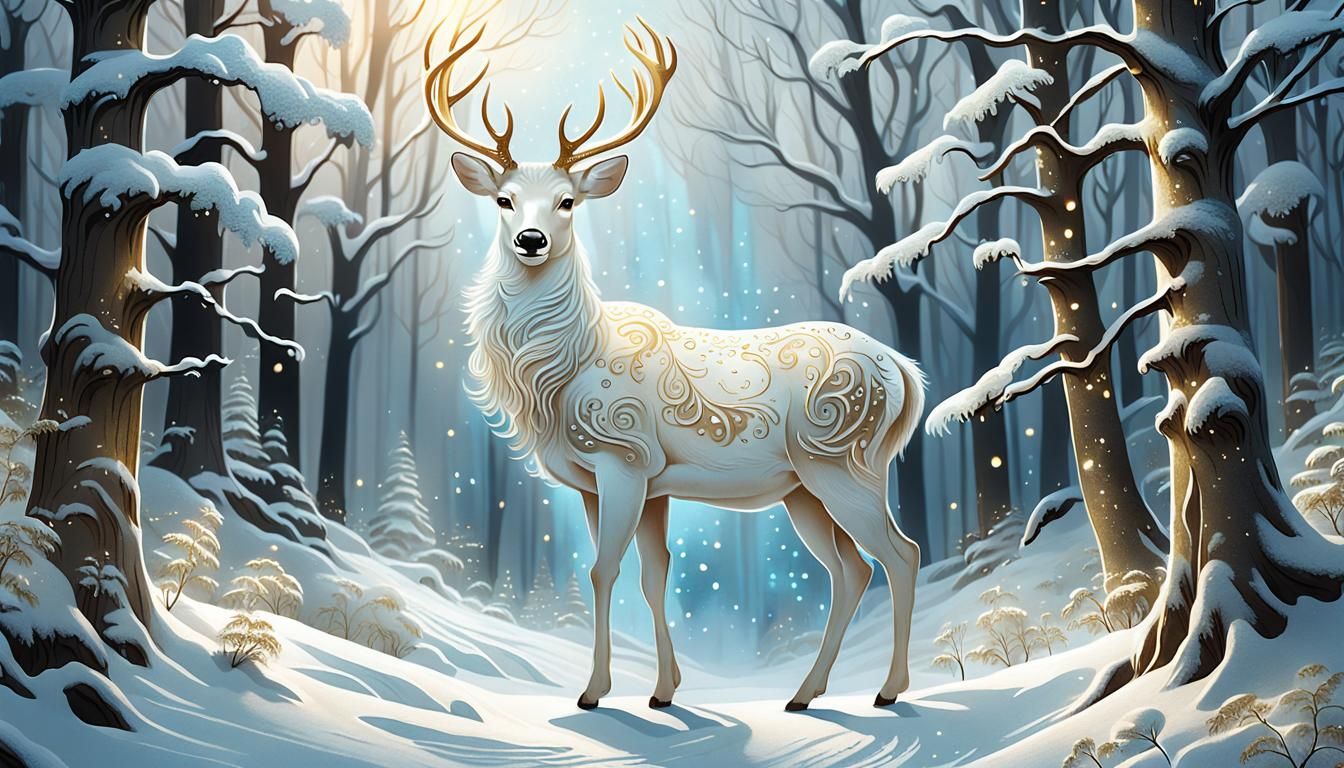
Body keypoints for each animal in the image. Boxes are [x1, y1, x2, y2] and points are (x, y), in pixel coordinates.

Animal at [423, 17, 926, 712]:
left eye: (567, 202)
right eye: (504, 199)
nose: (531, 239)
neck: (555, 376)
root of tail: (904, 372)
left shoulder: (624, 456)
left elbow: (603, 570)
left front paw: (594, 692)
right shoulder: (619, 482)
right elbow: (654, 576)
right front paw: (664, 690)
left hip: (845, 459)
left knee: (900, 554)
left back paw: (889, 689)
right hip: (805, 487)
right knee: (850, 569)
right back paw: (805, 693)